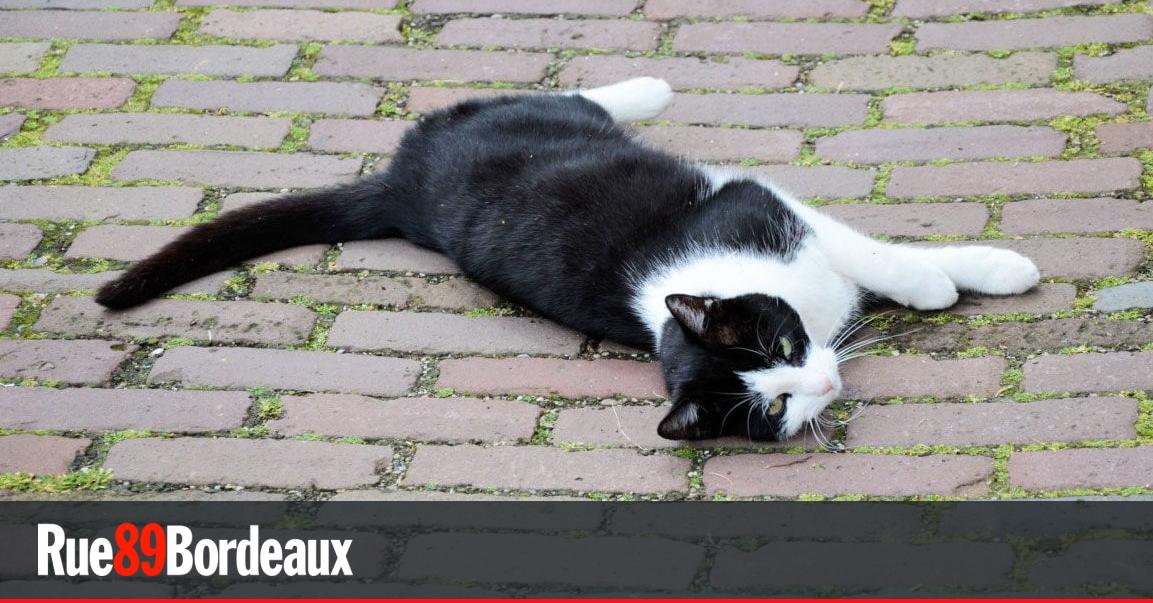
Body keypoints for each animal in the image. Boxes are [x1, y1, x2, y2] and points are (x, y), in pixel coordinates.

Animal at [94, 75, 1042, 442]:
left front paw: (963, 272)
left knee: (556, 97)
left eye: (774, 345)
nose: (822, 381)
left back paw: (645, 89)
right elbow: (871, 260)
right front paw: (942, 280)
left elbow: (870, 252)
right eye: (770, 405)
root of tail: (401, 188)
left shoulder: (759, 202)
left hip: (511, 119)